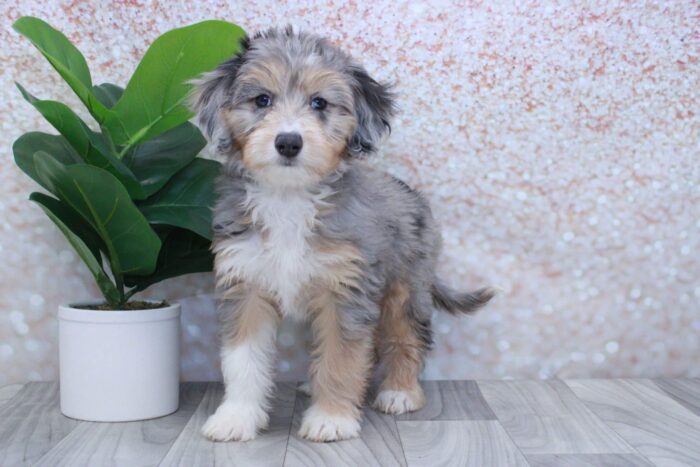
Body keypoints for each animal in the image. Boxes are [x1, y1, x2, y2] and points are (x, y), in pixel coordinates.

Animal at [190, 26, 492, 442]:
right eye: (262, 100)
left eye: (320, 103)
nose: (288, 142)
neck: (289, 198)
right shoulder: (244, 283)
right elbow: (243, 360)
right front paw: (237, 416)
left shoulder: (345, 292)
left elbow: (341, 356)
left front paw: (331, 418)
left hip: (406, 288)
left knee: (406, 338)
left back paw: (400, 391)